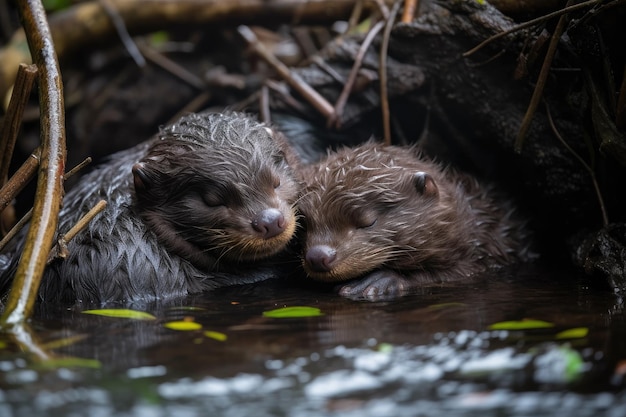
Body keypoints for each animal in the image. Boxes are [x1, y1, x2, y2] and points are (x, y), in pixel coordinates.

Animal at [296, 143, 532, 300]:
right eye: (305, 223)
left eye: (368, 221)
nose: (318, 256)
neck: (475, 221)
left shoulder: (491, 247)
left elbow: (461, 272)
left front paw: (378, 281)